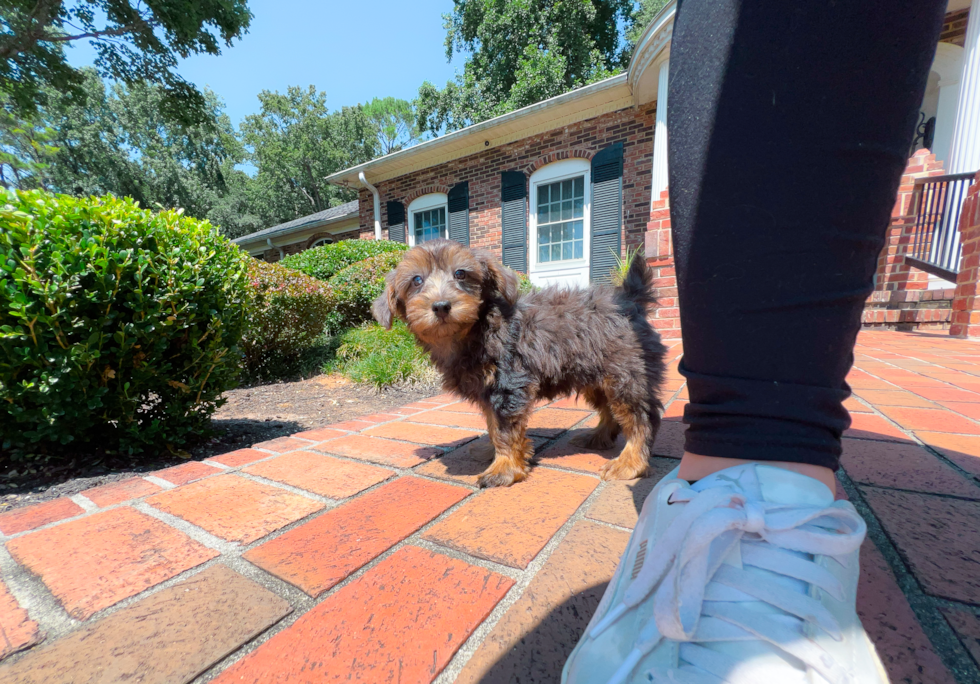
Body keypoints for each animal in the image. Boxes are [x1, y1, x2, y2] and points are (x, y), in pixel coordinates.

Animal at [374, 239, 668, 486]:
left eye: (460, 274)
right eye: (416, 280)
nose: (441, 305)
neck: (475, 330)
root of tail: (628, 300)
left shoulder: (509, 386)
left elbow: (505, 431)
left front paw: (503, 469)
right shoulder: (489, 391)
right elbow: (493, 426)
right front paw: (491, 451)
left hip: (626, 374)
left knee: (641, 418)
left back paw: (630, 463)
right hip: (597, 375)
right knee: (609, 409)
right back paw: (597, 437)